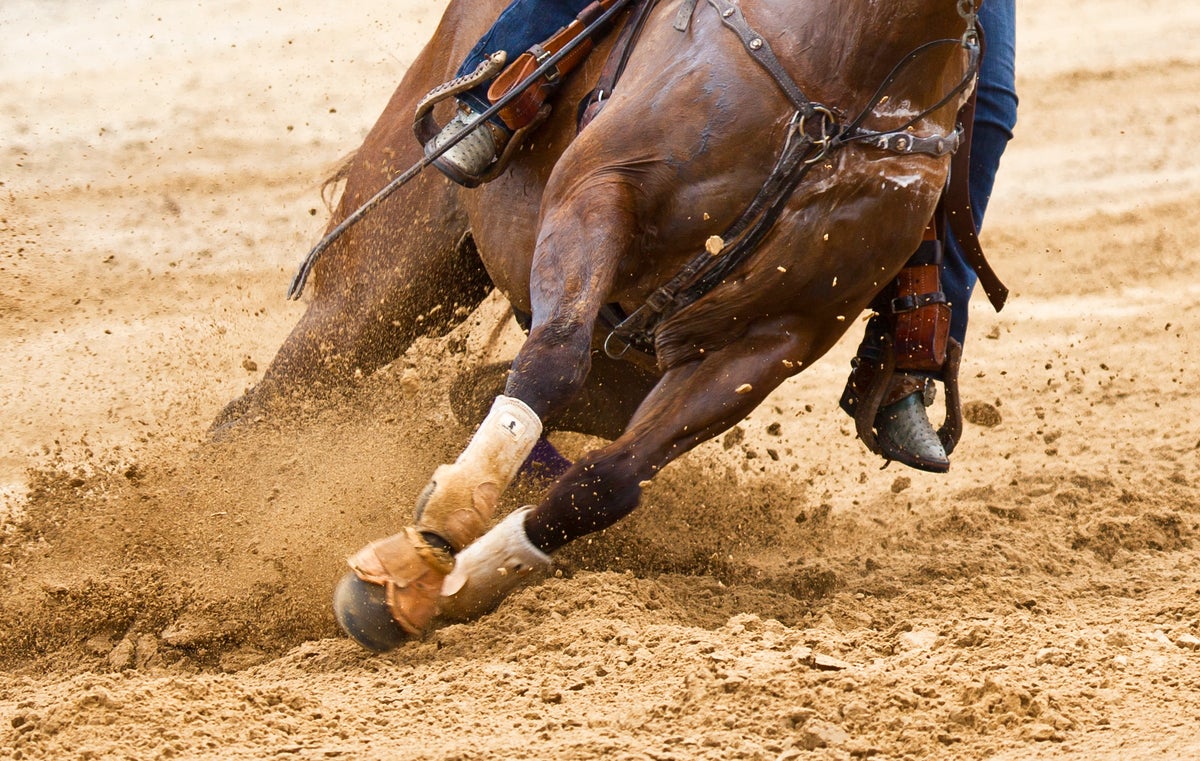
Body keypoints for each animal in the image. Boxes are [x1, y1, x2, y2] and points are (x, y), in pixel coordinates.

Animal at [218, 0, 982, 651]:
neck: (850, 63)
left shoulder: (772, 339)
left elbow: (607, 482)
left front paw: (440, 583)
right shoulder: (599, 190)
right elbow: (554, 361)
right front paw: (434, 537)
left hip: (618, 371)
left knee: (473, 391)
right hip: (385, 282)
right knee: (272, 401)